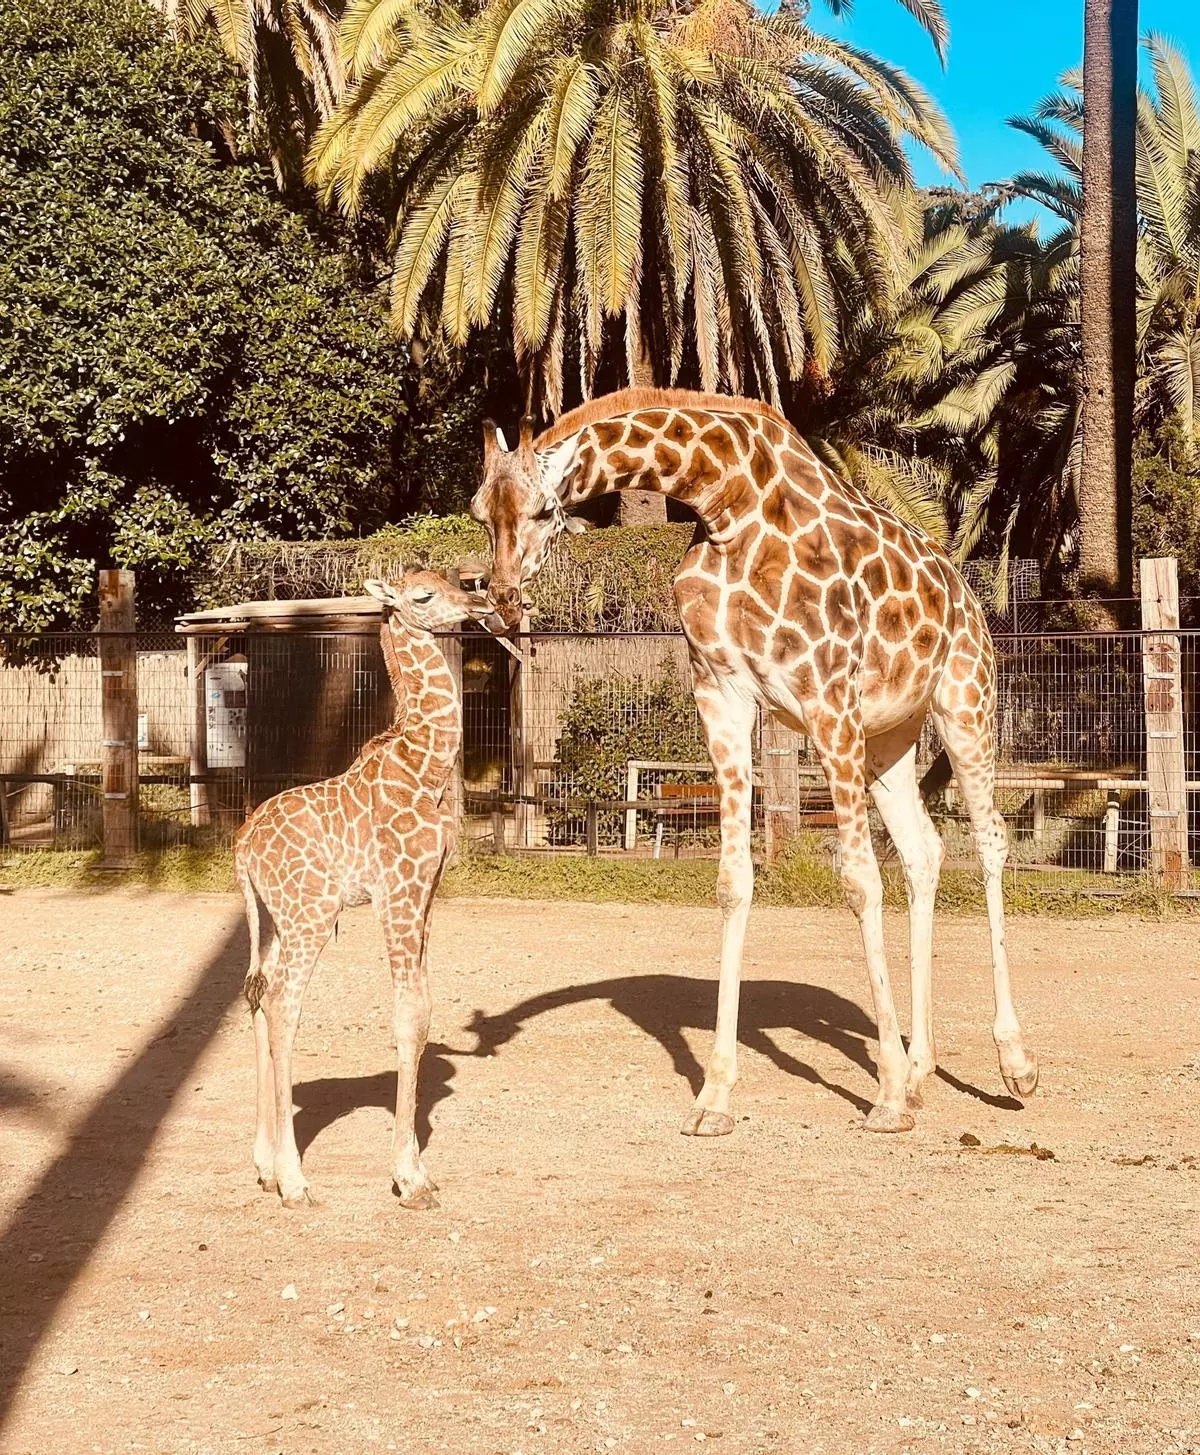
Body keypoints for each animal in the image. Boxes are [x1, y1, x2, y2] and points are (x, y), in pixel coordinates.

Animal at [234, 573, 491, 1210]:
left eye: (452, 580)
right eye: (423, 596)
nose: (479, 600)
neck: (423, 767)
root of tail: (243, 847)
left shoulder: (427, 891)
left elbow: (425, 1009)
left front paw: (419, 1170)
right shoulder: (398, 890)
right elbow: (407, 1015)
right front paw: (408, 1179)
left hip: (271, 918)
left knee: (258, 995)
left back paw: (266, 1168)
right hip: (310, 913)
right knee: (284, 1002)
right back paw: (295, 1183)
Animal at [474, 389, 1035, 1134]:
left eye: (543, 510)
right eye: (481, 512)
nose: (505, 599)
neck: (724, 502)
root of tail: (965, 593)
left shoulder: (826, 697)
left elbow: (860, 881)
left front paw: (884, 1096)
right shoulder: (722, 691)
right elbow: (734, 881)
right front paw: (714, 1096)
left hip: (964, 701)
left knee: (992, 839)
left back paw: (1012, 1064)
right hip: (892, 736)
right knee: (924, 850)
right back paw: (920, 1071)